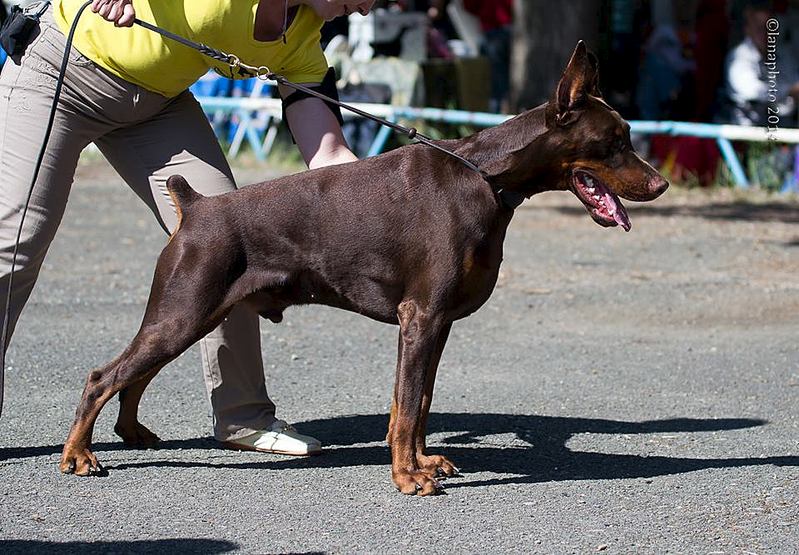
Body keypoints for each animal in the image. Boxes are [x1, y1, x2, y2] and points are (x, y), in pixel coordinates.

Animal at [57, 42, 668, 496]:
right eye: (614, 141)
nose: (660, 184)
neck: (487, 179)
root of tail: (197, 207)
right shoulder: (420, 316)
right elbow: (407, 405)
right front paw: (407, 478)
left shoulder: (437, 323)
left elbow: (418, 402)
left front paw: (424, 462)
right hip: (185, 306)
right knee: (104, 376)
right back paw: (79, 456)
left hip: (196, 312)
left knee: (135, 374)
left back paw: (131, 433)